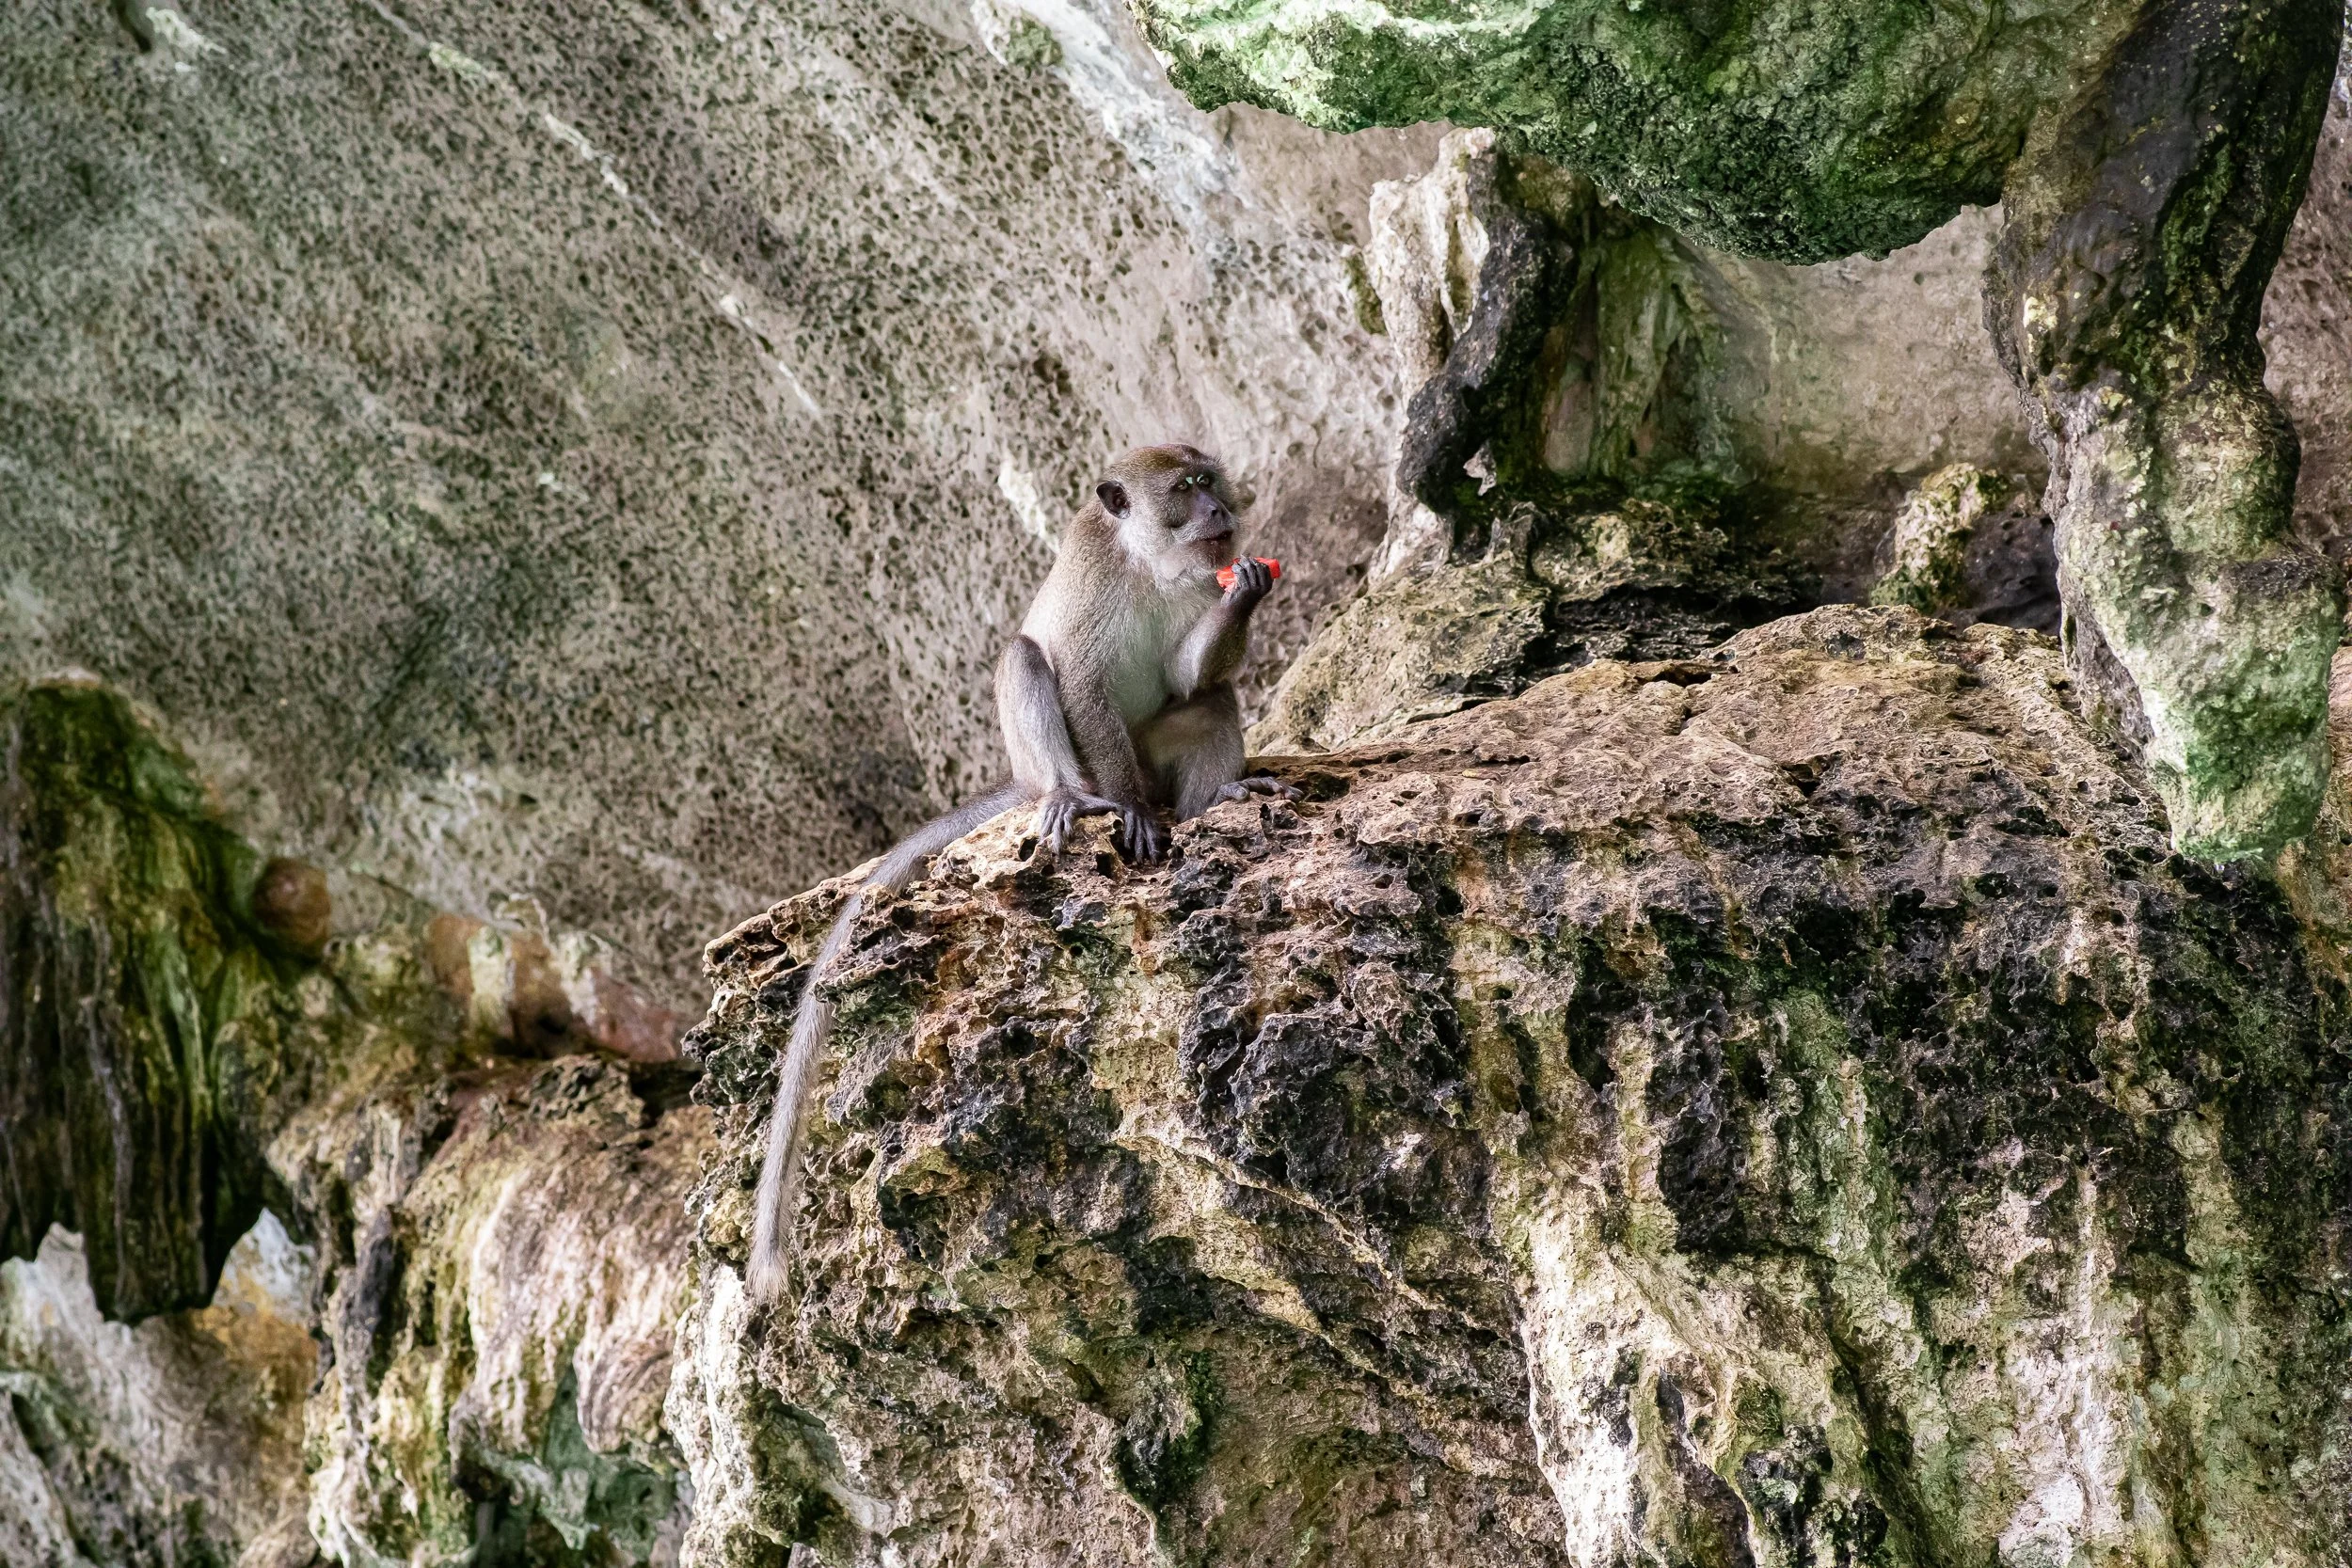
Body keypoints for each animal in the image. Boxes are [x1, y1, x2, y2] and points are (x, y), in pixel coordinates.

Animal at [747, 443, 1292, 1301]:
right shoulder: (1098, 592)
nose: (1220, 513)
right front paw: (1132, 814)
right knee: (1028, 659)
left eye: (1210, 481)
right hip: (1062, 760)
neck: (1152, 563)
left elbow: (1188, 675)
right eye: (1184, 488)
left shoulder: (1195, 585)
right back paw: (1080, 798)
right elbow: (1080, 681)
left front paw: (1247, 594)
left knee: (1209, 701)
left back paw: (1209, 803)